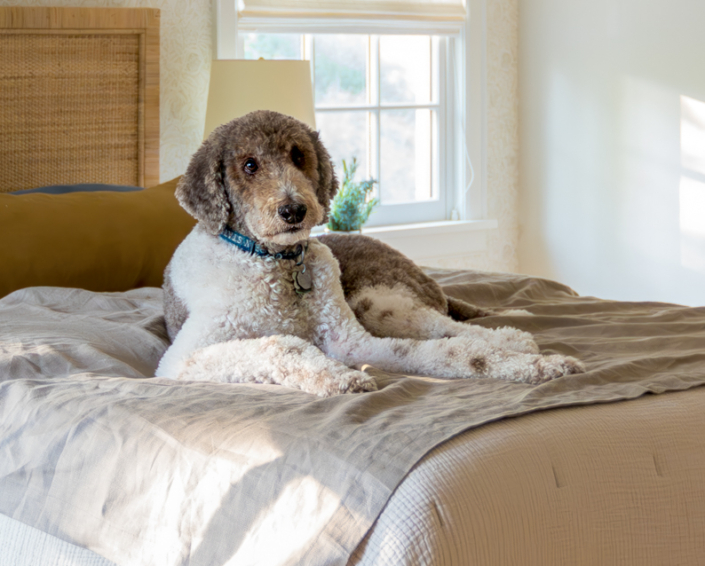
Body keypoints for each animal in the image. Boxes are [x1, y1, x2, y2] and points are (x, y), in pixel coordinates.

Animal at [157, 110, 584, 394]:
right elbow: (282, 344)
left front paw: (543, 364)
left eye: (298, 155)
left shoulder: (351, 341)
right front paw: (339, 377)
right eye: (249, 165)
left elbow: (448, 352)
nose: (294, 210)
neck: (276, 262)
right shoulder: (182, 358)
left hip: (378, 304)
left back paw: (514, 340)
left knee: (450, 329)